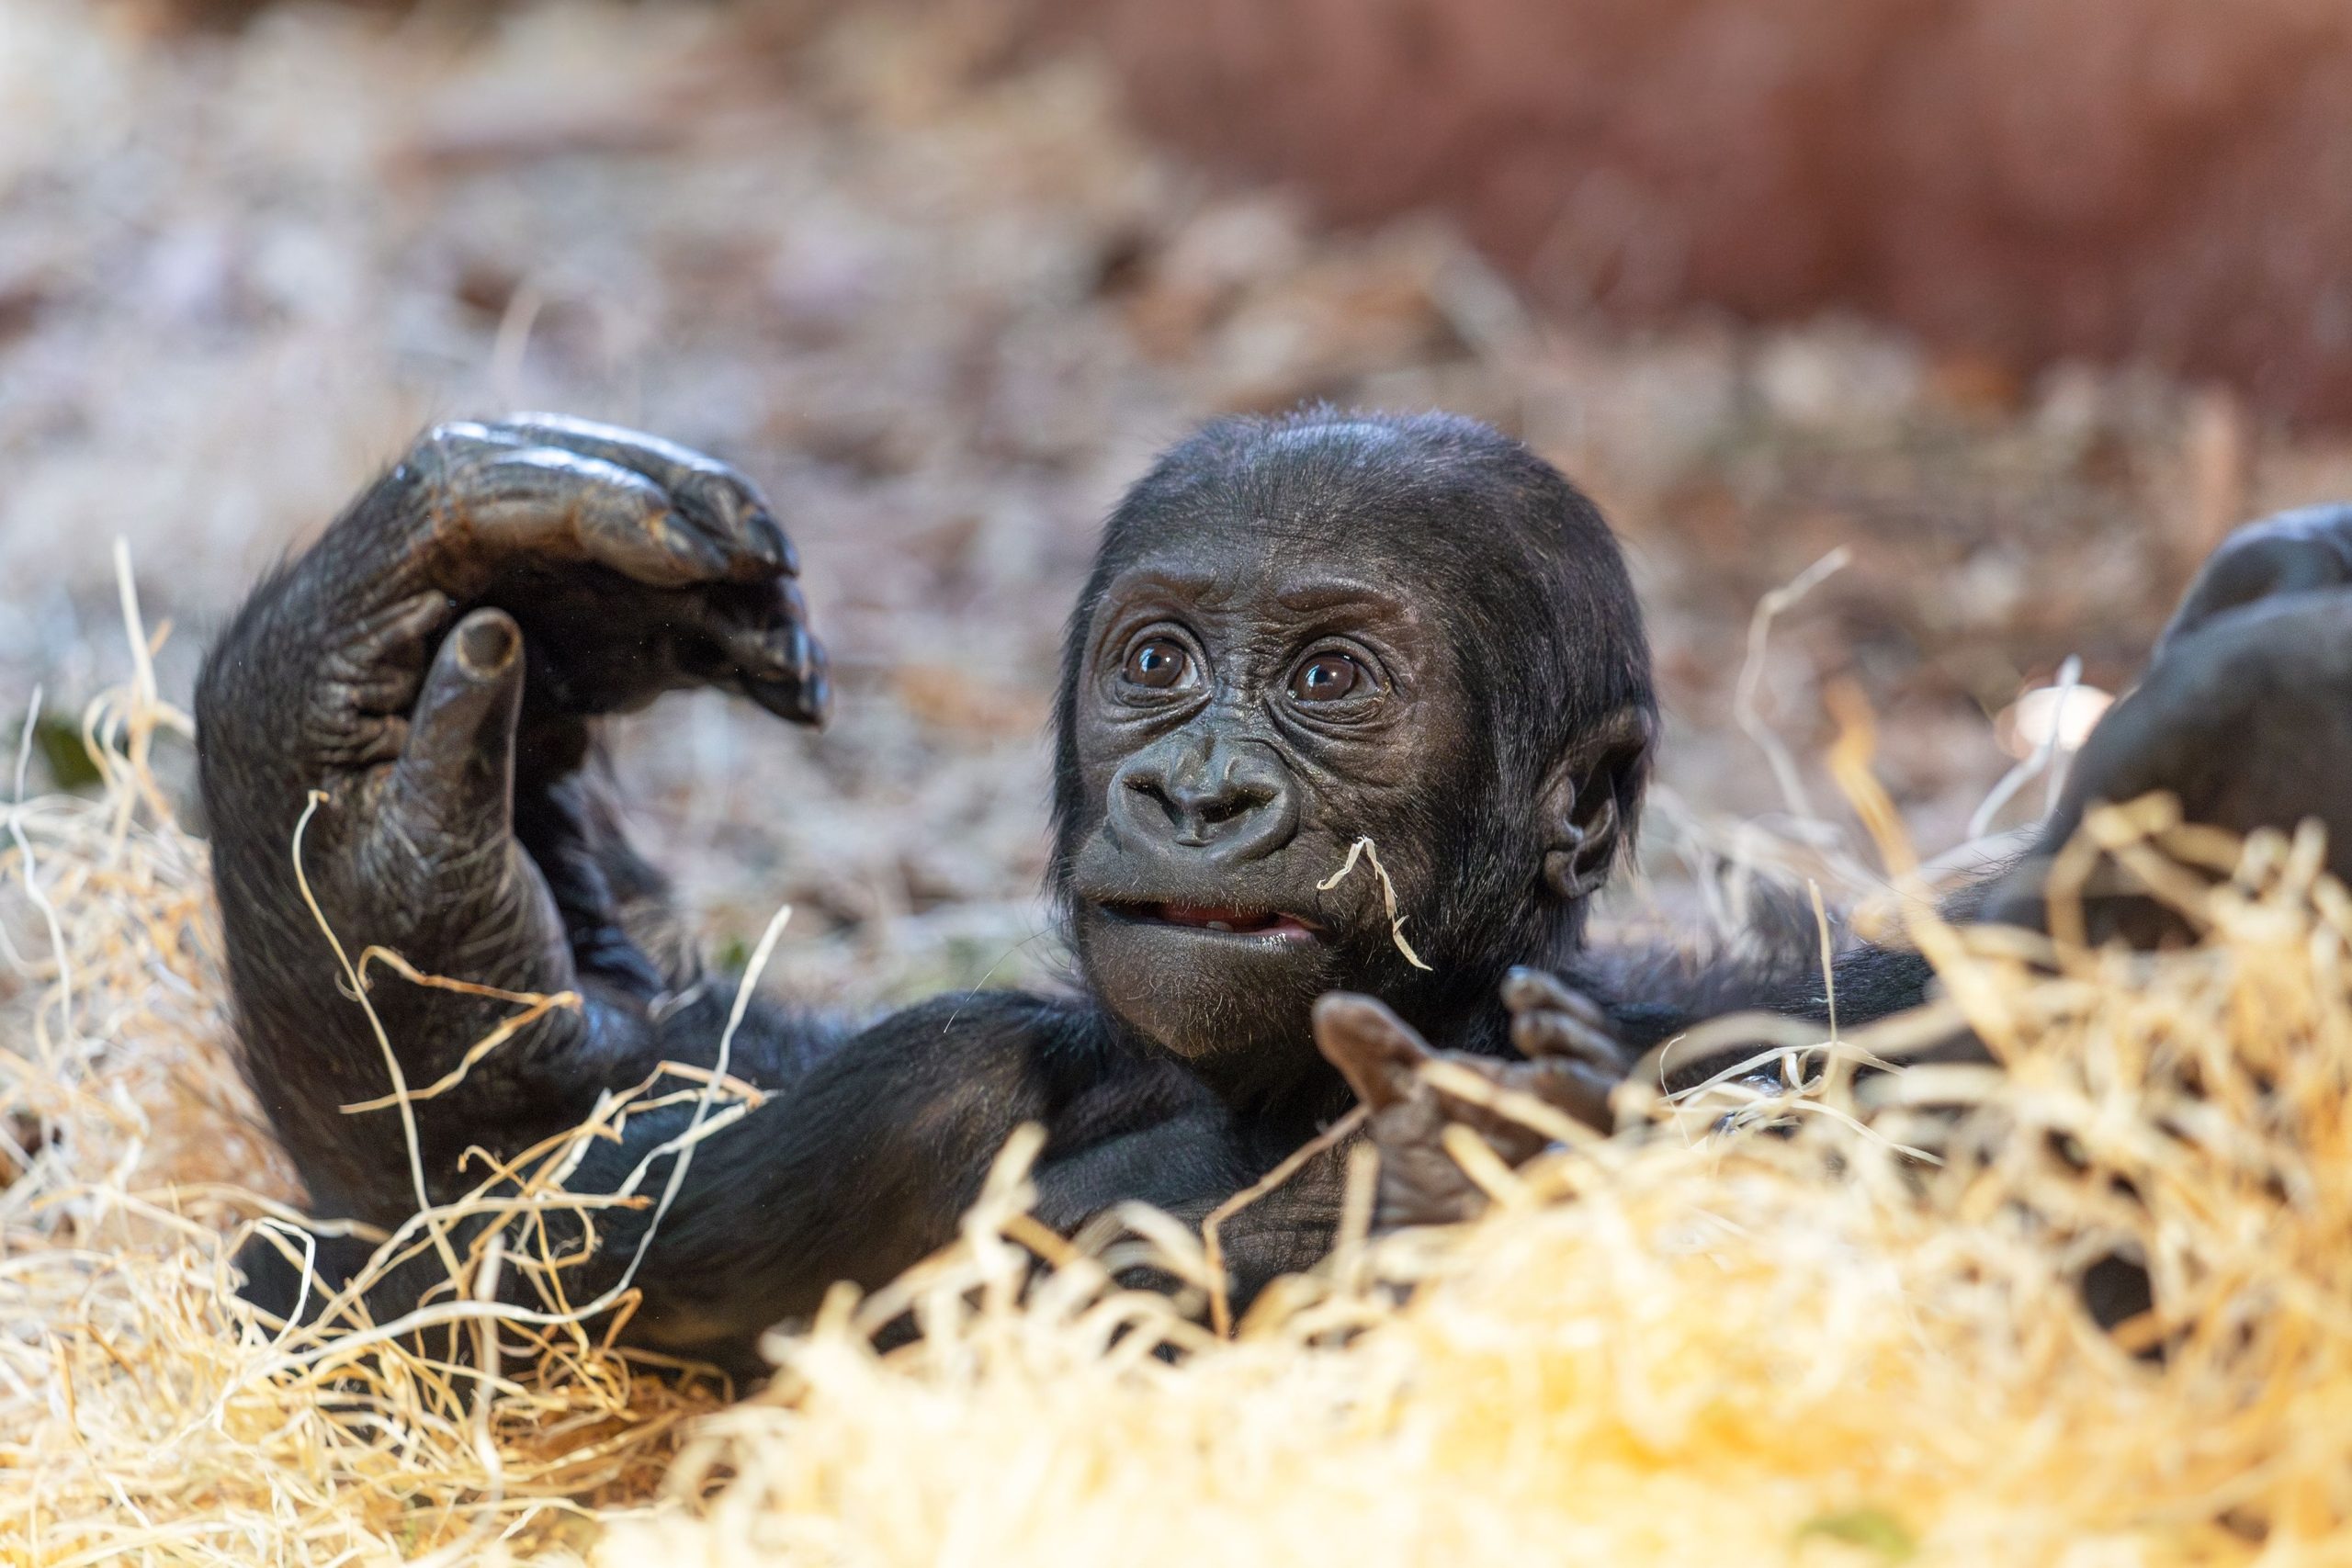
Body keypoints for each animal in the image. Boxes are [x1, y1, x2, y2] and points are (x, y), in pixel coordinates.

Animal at [193, 410, 2352, 1372]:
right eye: (1156, 659)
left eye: (1328, 682)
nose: (1199, 786)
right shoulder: (920, 1082)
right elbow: (440, 1264)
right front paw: (390, 714)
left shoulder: (1792, 1032)